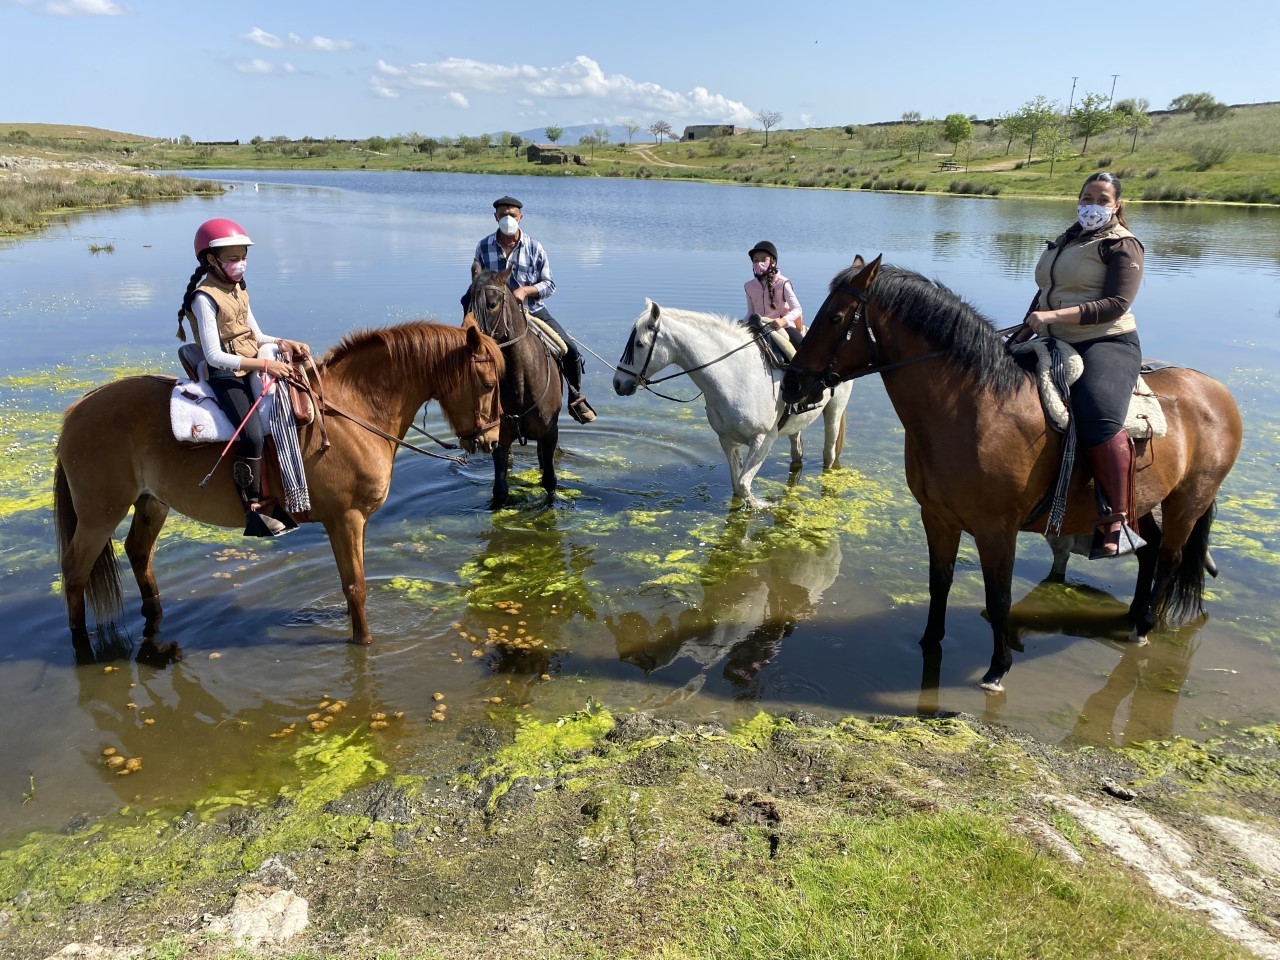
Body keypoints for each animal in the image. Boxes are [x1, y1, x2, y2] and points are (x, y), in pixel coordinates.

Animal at [56, 321, 504, 647]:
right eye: (487, 384)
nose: (492, 440)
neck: (352, 411)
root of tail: (78, 409)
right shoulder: (345, 519)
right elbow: (355, 587)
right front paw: (363, 642)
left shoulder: (353, 522)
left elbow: (352, 586)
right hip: (100, 514)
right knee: (75, 571)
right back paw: (80, 643)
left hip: (152, 502)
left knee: (139, 554)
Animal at [463, 263, 558, 512]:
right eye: (463, 301)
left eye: (492, 303)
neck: (521, 384)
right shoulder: (501, 438)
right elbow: (499, 490)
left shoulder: (550, 434)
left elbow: (549, 481)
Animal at [614, 302, 855, 512]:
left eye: (639, 344)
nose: (618, 383)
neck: (736, 376)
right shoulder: (728, 441)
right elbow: (737, 486)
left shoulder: (762, 440)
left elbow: (743, 485)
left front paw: (763, 505)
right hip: (795, 425)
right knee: (797, 453)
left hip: (834, 410)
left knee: (829, 454)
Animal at [778, 256, 1239, 691]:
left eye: (835, 317)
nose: (791, 385)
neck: (975, 407)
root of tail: (1215, 392)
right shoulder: (938, 518)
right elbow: (939, 582)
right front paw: (930, 643)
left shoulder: (996, 529)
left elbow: (999, 598)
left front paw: (997, 669)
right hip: (1140, 502)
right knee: (1149, 550)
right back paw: (1131, 616)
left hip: (1187, 502)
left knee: (1169, 558)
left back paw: (1143, 626)